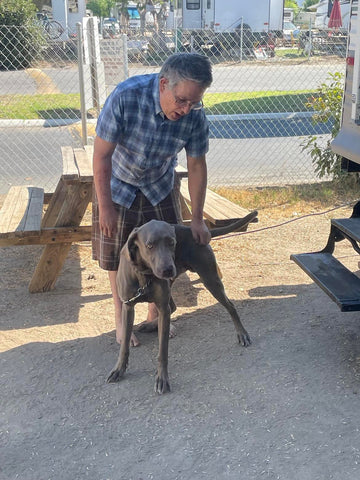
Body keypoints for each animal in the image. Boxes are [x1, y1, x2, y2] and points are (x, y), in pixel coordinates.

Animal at [108, 212, 258, 396]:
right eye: (149, 245)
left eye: (172, 242)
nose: (167, 269)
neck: (145, 275)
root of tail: (193, 231)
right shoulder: (128, 306)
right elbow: (124, 347)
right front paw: (119, 369)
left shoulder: (162, 308)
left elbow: (163, 351)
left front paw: (162, 379)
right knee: (173, 306)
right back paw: (150, 325)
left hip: (210, 279)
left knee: (230, 306)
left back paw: (242, 334)